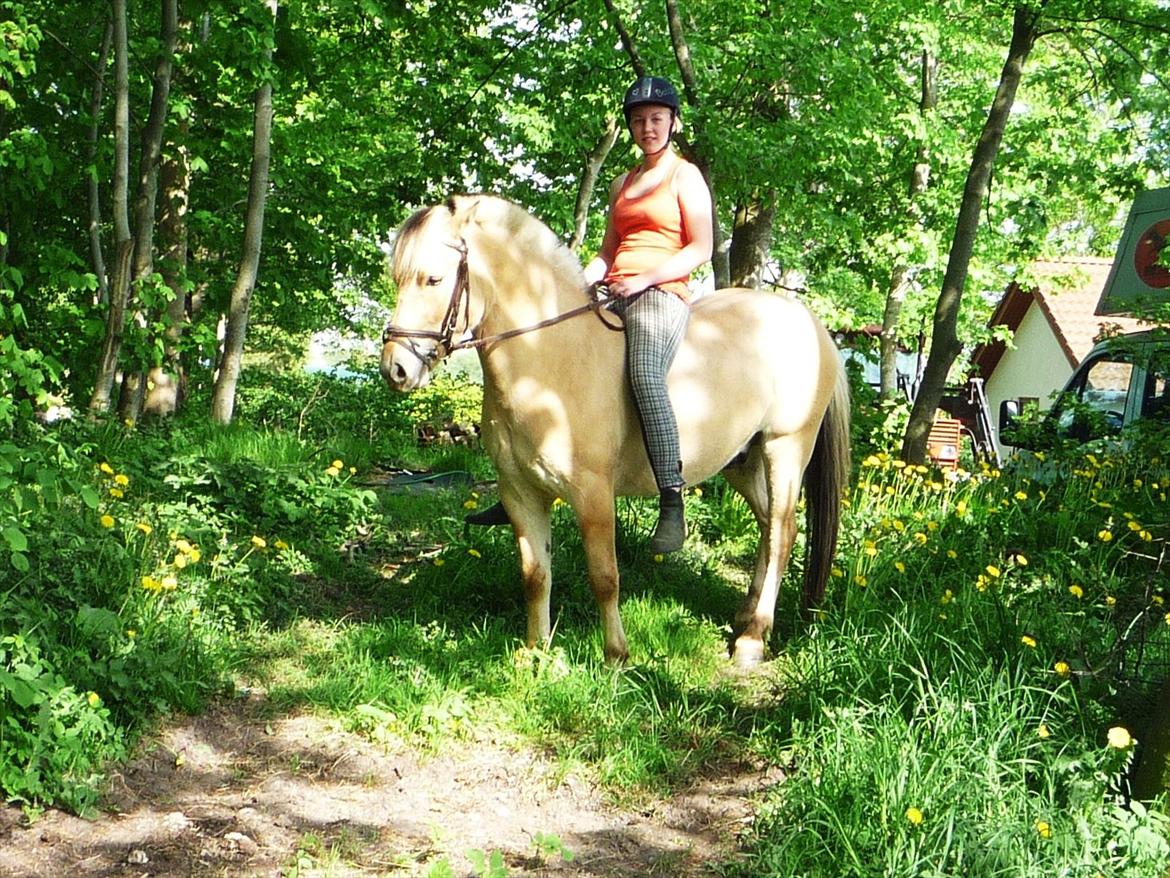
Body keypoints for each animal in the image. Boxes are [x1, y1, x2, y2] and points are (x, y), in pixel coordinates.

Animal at [383, 194, 851, 664]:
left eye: (433, 278)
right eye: (398, 278)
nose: (396, 369)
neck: (549, 364)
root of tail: (811, 324)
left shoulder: (593, 494)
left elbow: (604, 577)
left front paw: (616, 656)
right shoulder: (521, 494)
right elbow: (535, 576)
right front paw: (536, 652)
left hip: (785, 449)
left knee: (782, 533)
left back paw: (753, 637)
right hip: (742, 460)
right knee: (768, 527)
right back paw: (747, 615)